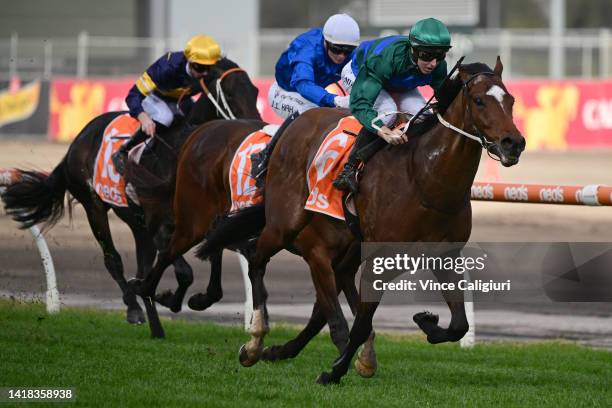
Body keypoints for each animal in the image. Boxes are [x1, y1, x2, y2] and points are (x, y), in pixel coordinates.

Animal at [0, 57, 260, 326]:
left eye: (255, 91)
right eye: (229, 93)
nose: (255, 126)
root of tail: (77, 141)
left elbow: (211, 258)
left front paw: (197, 299)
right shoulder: (161, 226)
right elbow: (184, 271)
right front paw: (168, 298)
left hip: (137, 223)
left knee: (141, 264)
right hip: (94, 206)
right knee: (112, 260)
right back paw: (134, 308)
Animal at [218, 57, 528, 382]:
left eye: (511, 100)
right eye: (479, 101)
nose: (513, 143)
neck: (424, 178)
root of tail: (297, 123)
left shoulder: (445, 255)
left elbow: (459, 325)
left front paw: (426, 322)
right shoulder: (374, 259)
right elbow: (358, 323)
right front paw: (335, 371)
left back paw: (278, 349)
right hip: (284, 223)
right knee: (257, 259)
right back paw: (254, 342)